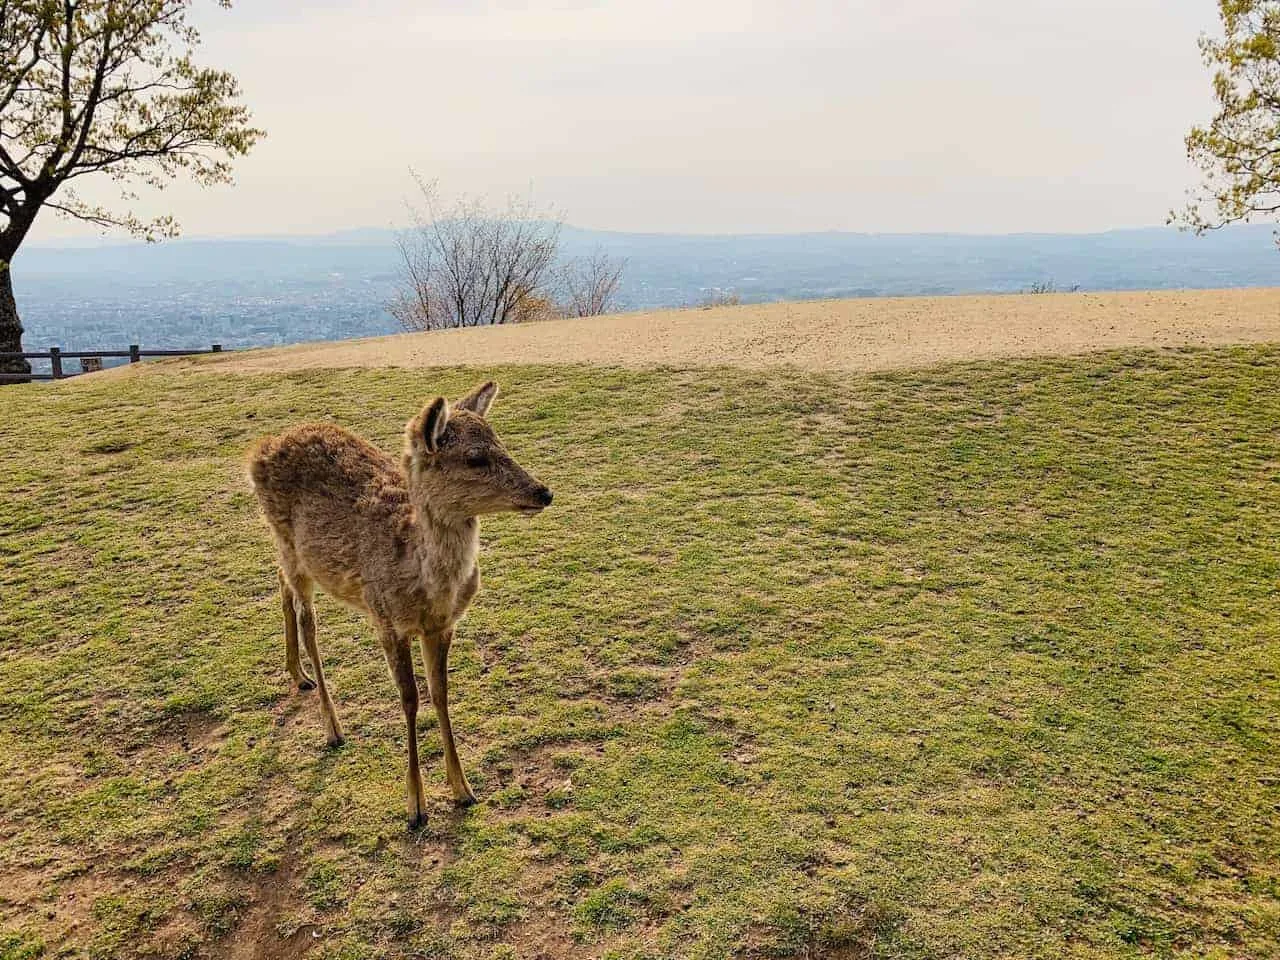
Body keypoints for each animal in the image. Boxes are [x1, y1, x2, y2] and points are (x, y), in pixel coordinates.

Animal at [247, 381, 552, 829]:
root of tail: (259, 448)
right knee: (308, 620)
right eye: (475, 458)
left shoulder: (442, 625)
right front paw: (416, 806)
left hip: (289, 553)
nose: (543, 492)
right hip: (288, 542)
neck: (423, 582)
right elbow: (409, 699)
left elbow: (440, 692)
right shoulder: (386, 620)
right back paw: (332, 726)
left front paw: (463, 789)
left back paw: (298, 675)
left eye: (501, 442)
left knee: (280, 582)